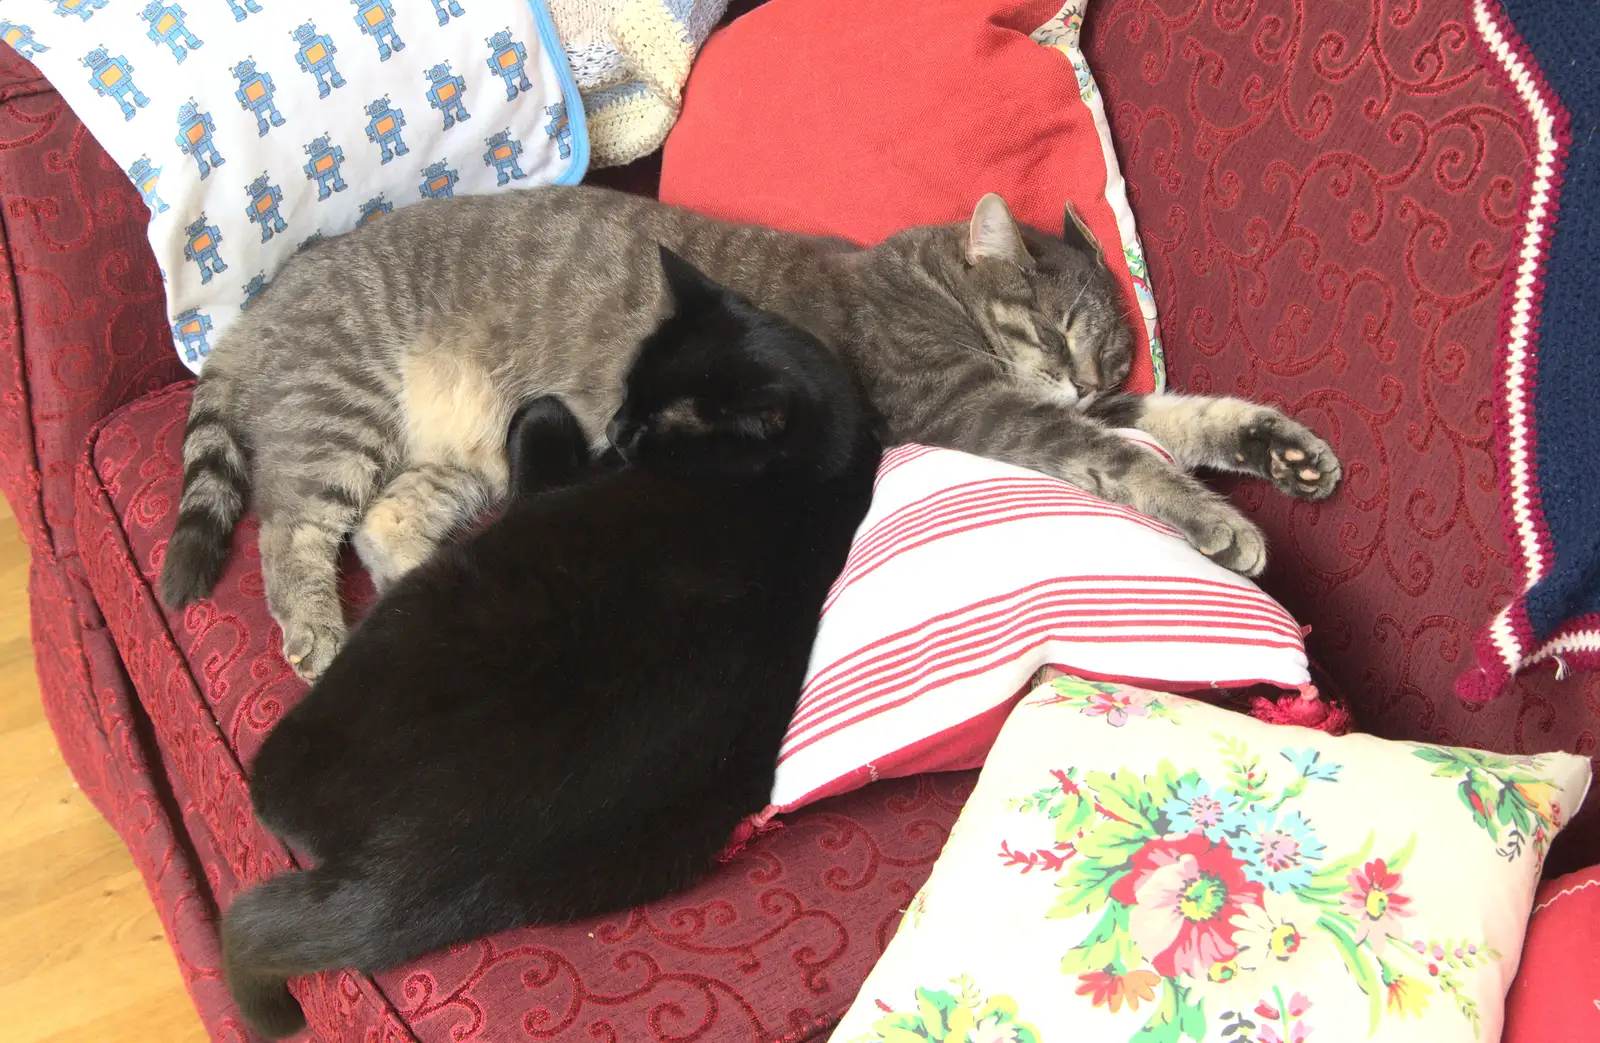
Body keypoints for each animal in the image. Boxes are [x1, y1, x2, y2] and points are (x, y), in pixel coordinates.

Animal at [159, 183, 1337, 681]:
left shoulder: (1060, 404)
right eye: (1053, 329)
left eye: (1113, 355)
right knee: (292, 530)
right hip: (341, 408)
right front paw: (1211, 516)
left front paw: (1279, 448)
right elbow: (1120, 459)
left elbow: (1177, 420)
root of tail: (261, 308)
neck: (935, 283)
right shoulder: (974, 403)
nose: (1083, 376)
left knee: (384, 526)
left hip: (456, 461)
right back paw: (316, 629)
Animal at [219, 247, 883, 1036]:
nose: (618, 428)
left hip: (405, 625)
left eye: (657, 426)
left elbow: (538, 415)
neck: (805, 479)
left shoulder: (545, 480)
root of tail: (422, 865)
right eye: (628, 389)